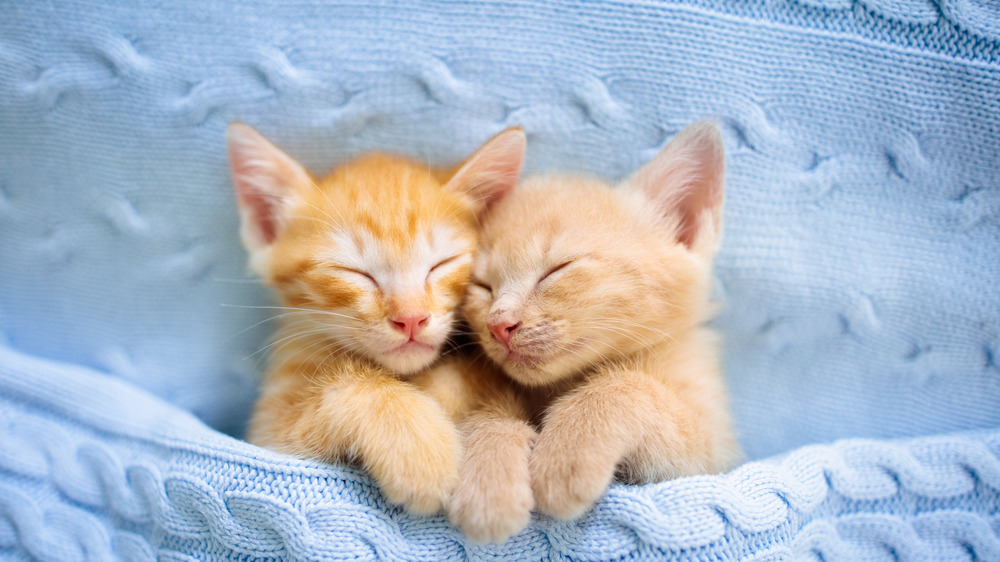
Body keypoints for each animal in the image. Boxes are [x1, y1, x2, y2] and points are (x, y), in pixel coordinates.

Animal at [227, 124, 524, 516]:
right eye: (355, 273)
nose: (411, 318)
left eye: (441, 265)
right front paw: (417, 448)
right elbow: (353, 386)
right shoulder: (266, 434)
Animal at [456, 120, 744, 536]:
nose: (499, 324)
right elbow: (485, 410)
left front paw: (567, 452)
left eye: (557, 269)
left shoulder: (716, 452)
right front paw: (489, 473)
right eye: (482, 286)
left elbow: (624, 385)